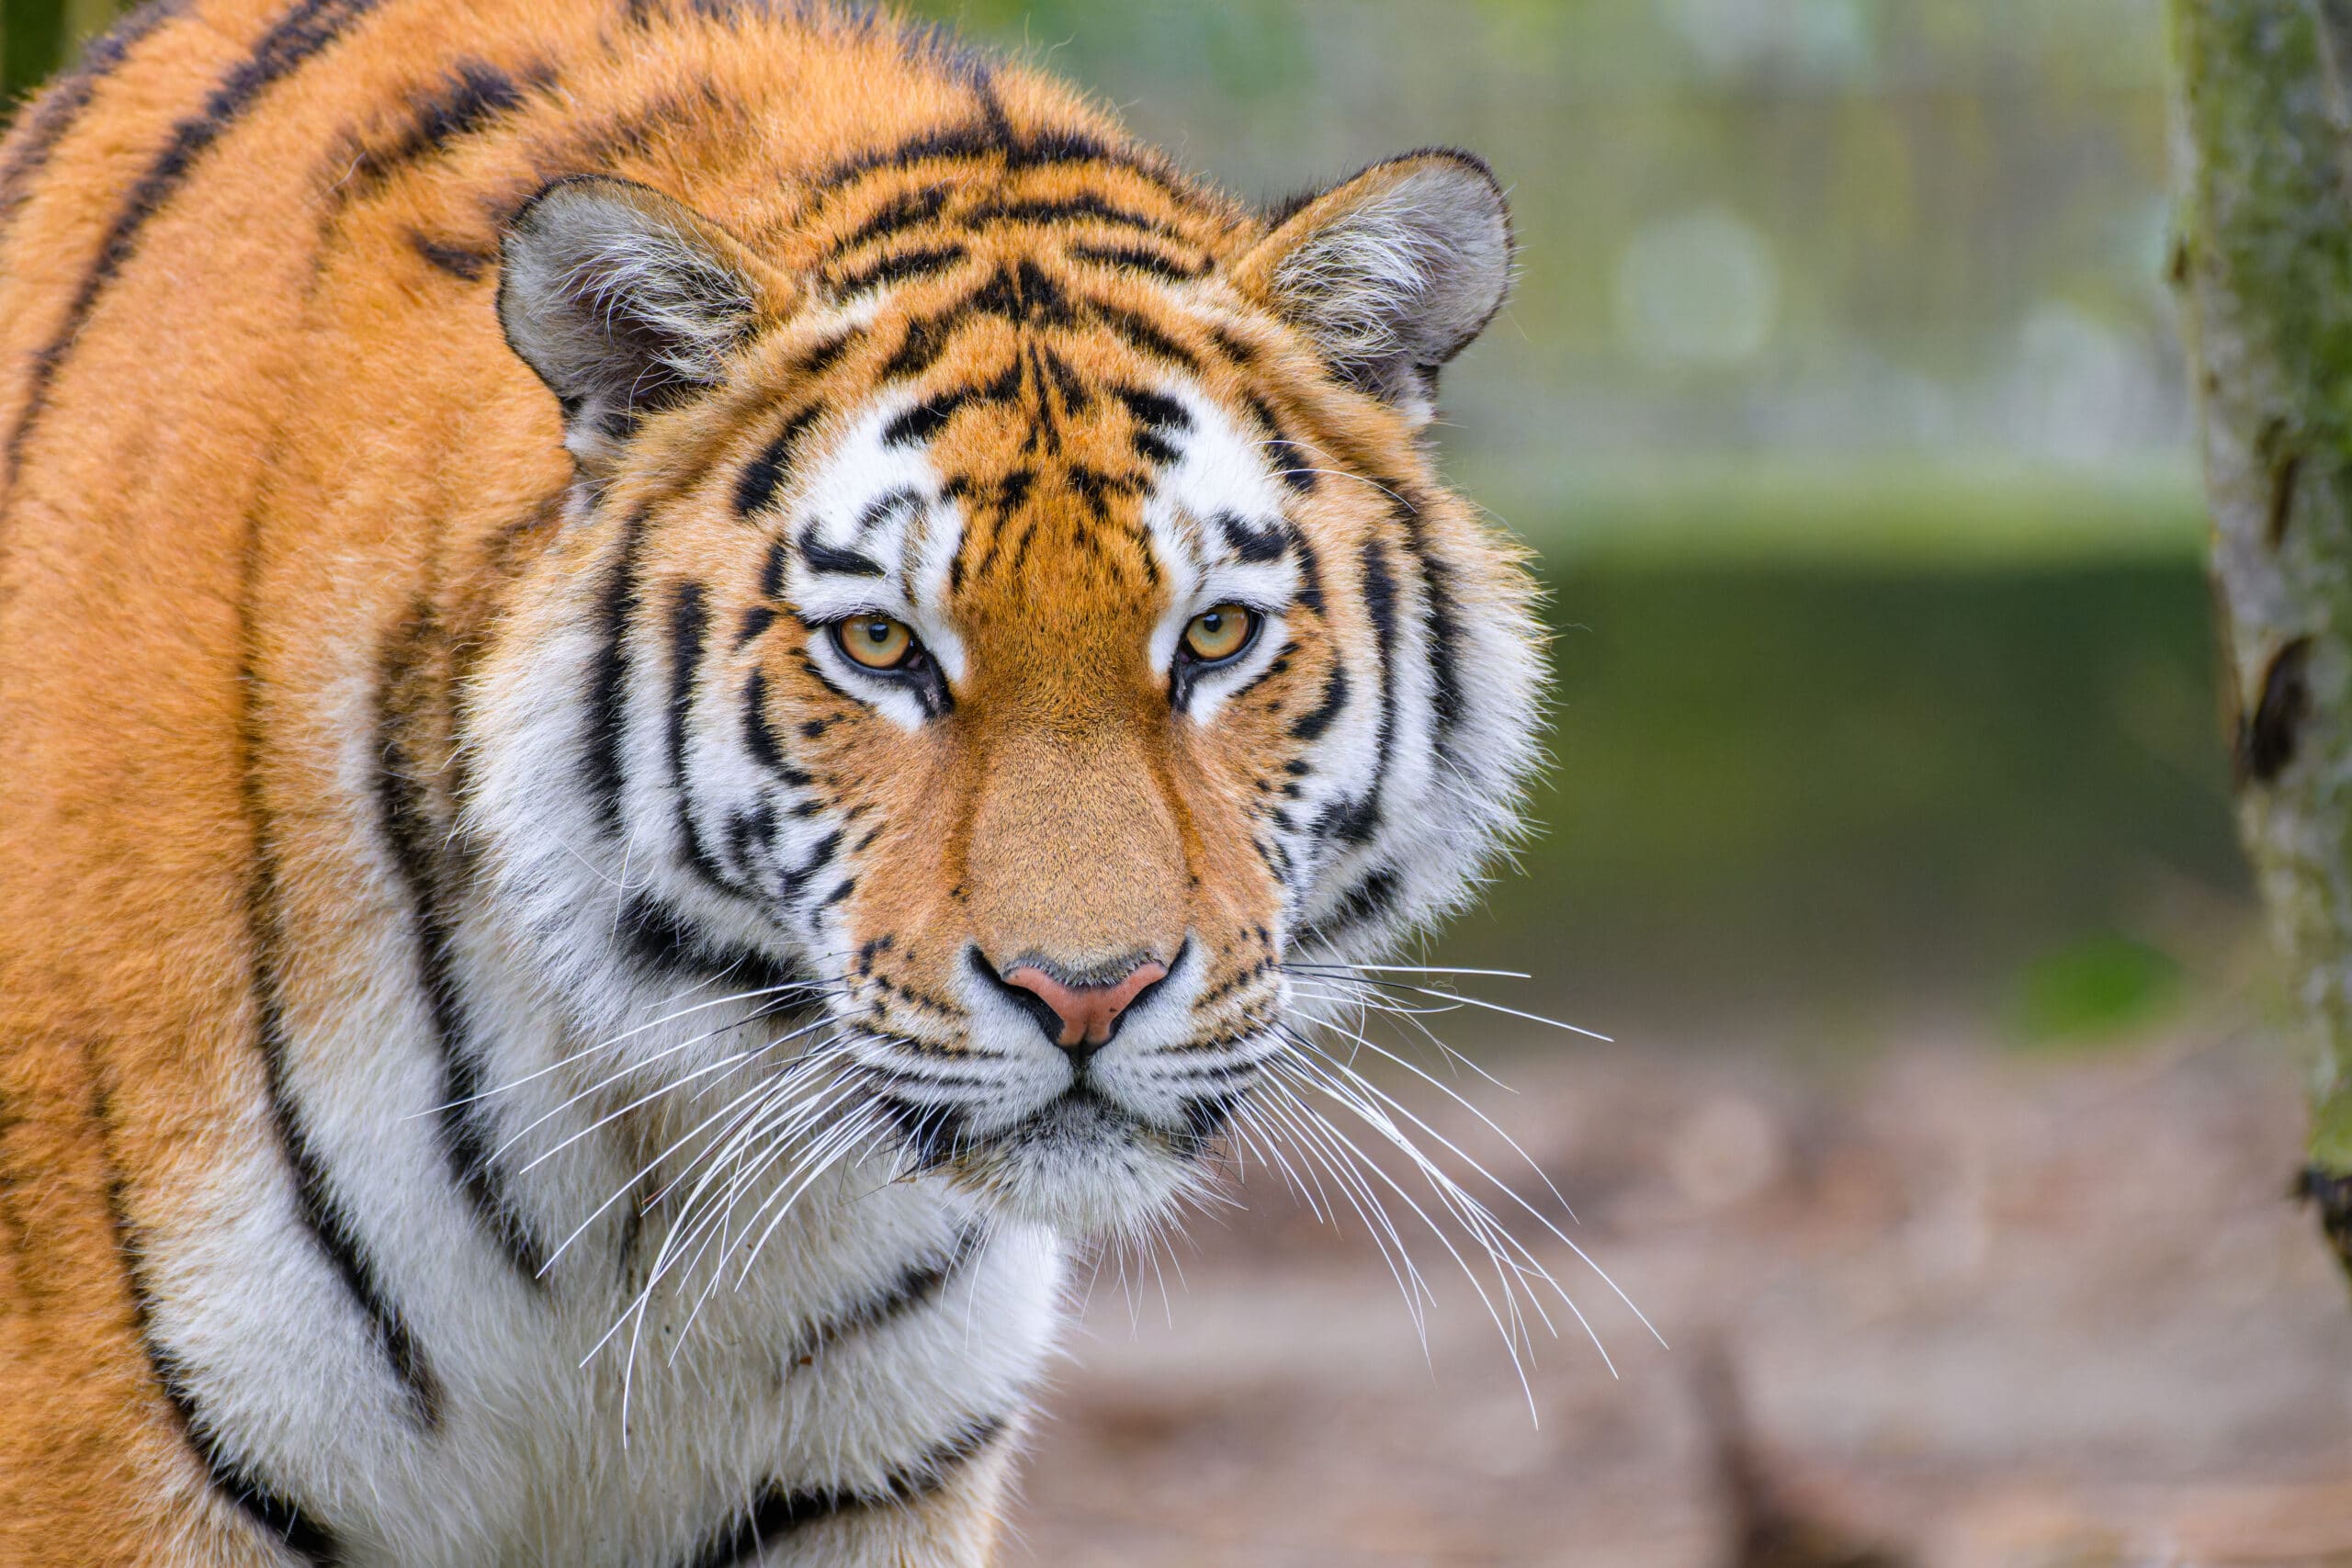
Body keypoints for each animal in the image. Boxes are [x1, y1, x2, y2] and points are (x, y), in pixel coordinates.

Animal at [0, 0, 1545, 1562]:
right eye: (881, 643)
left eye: (1217, 632)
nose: (1086, 996)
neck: (661, 1165)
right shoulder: (111, 1452)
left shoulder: (872, 1475)